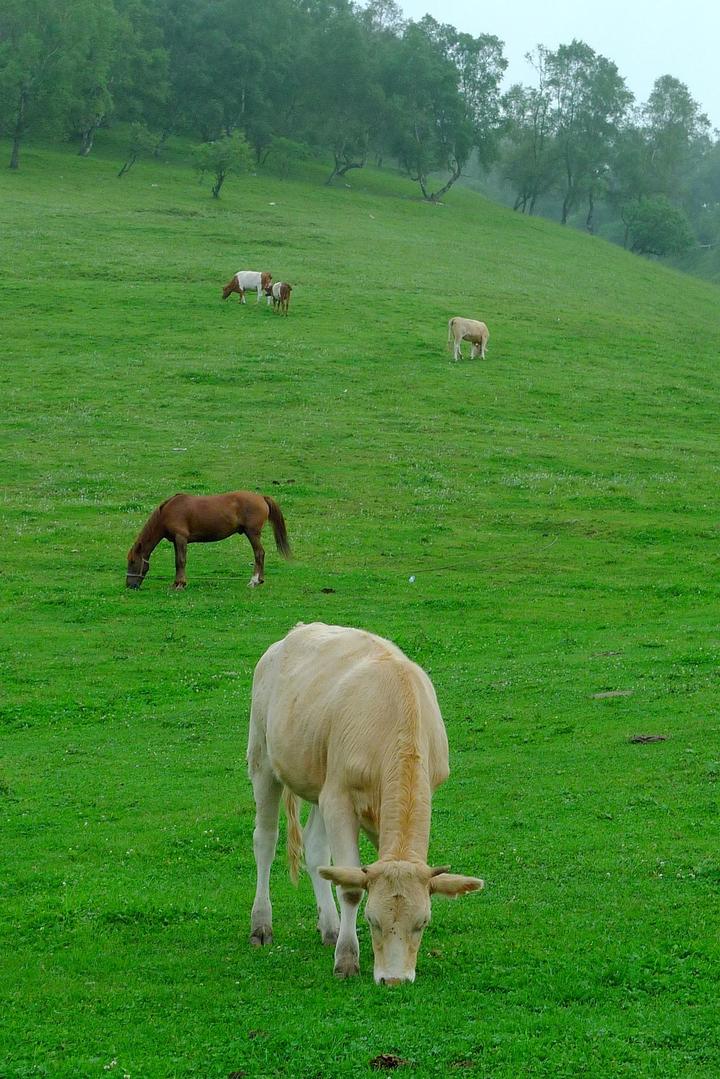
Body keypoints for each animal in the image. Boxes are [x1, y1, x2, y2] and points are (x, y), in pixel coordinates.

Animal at [127, 492, 293, 591]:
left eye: (132, 562)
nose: (129, 585)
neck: (168, 512)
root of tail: (261, 497)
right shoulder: (176, 540)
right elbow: (177, 561)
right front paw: (175, 583)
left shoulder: (181, 537)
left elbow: (180, 561)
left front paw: (180, 584)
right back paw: (260, 580)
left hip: (252, 533)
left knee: (259, 553)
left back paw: (254, 581)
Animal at [248, 625, 483, 988]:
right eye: (372, 921)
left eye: (423, 923)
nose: (394, 980)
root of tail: (295, 631)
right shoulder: (340, 797)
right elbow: (350, 887)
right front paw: (347, 958)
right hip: (262, 757)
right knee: (265, 841)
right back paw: (261, 924)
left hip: (321, 779)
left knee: (315, 849)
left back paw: (330, 927)